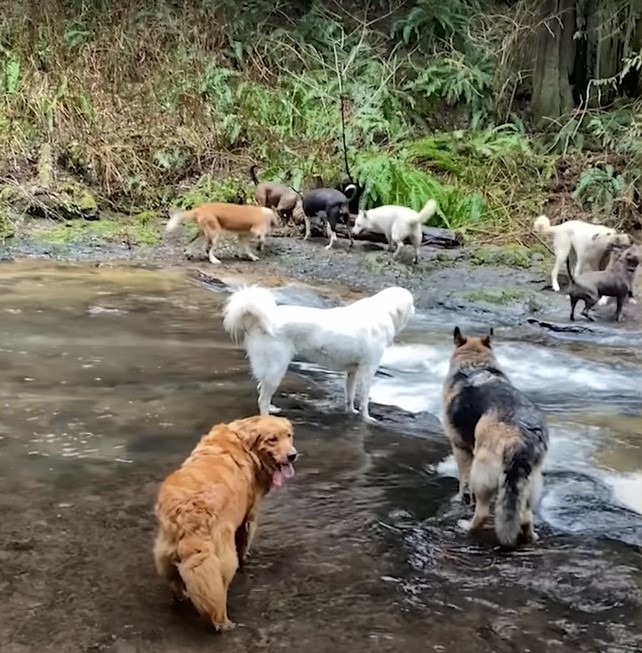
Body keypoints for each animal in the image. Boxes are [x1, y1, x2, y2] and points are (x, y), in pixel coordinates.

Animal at [224, 286, 416, 422]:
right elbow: (364, 400)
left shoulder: (352, 372)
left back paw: (272, 409)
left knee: (261, 390)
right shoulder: (368, 371)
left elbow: (350, 396)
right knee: (262, 399)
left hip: (270, 370)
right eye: (412, 303)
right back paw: (267, 419)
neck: (383, 311)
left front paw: (350, 412)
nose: (416, 309)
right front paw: (366, 418)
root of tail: (260, 320)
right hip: (277, 367)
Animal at [440, 326, 552, 544]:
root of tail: (519, 437)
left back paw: (466, 526)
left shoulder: (460, 448)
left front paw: (461, 498)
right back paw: (530, 536)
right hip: (530, 482)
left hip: (481, 474)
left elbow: (463, 482)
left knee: (482, 513)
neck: (474, 363)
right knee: (525, 517)